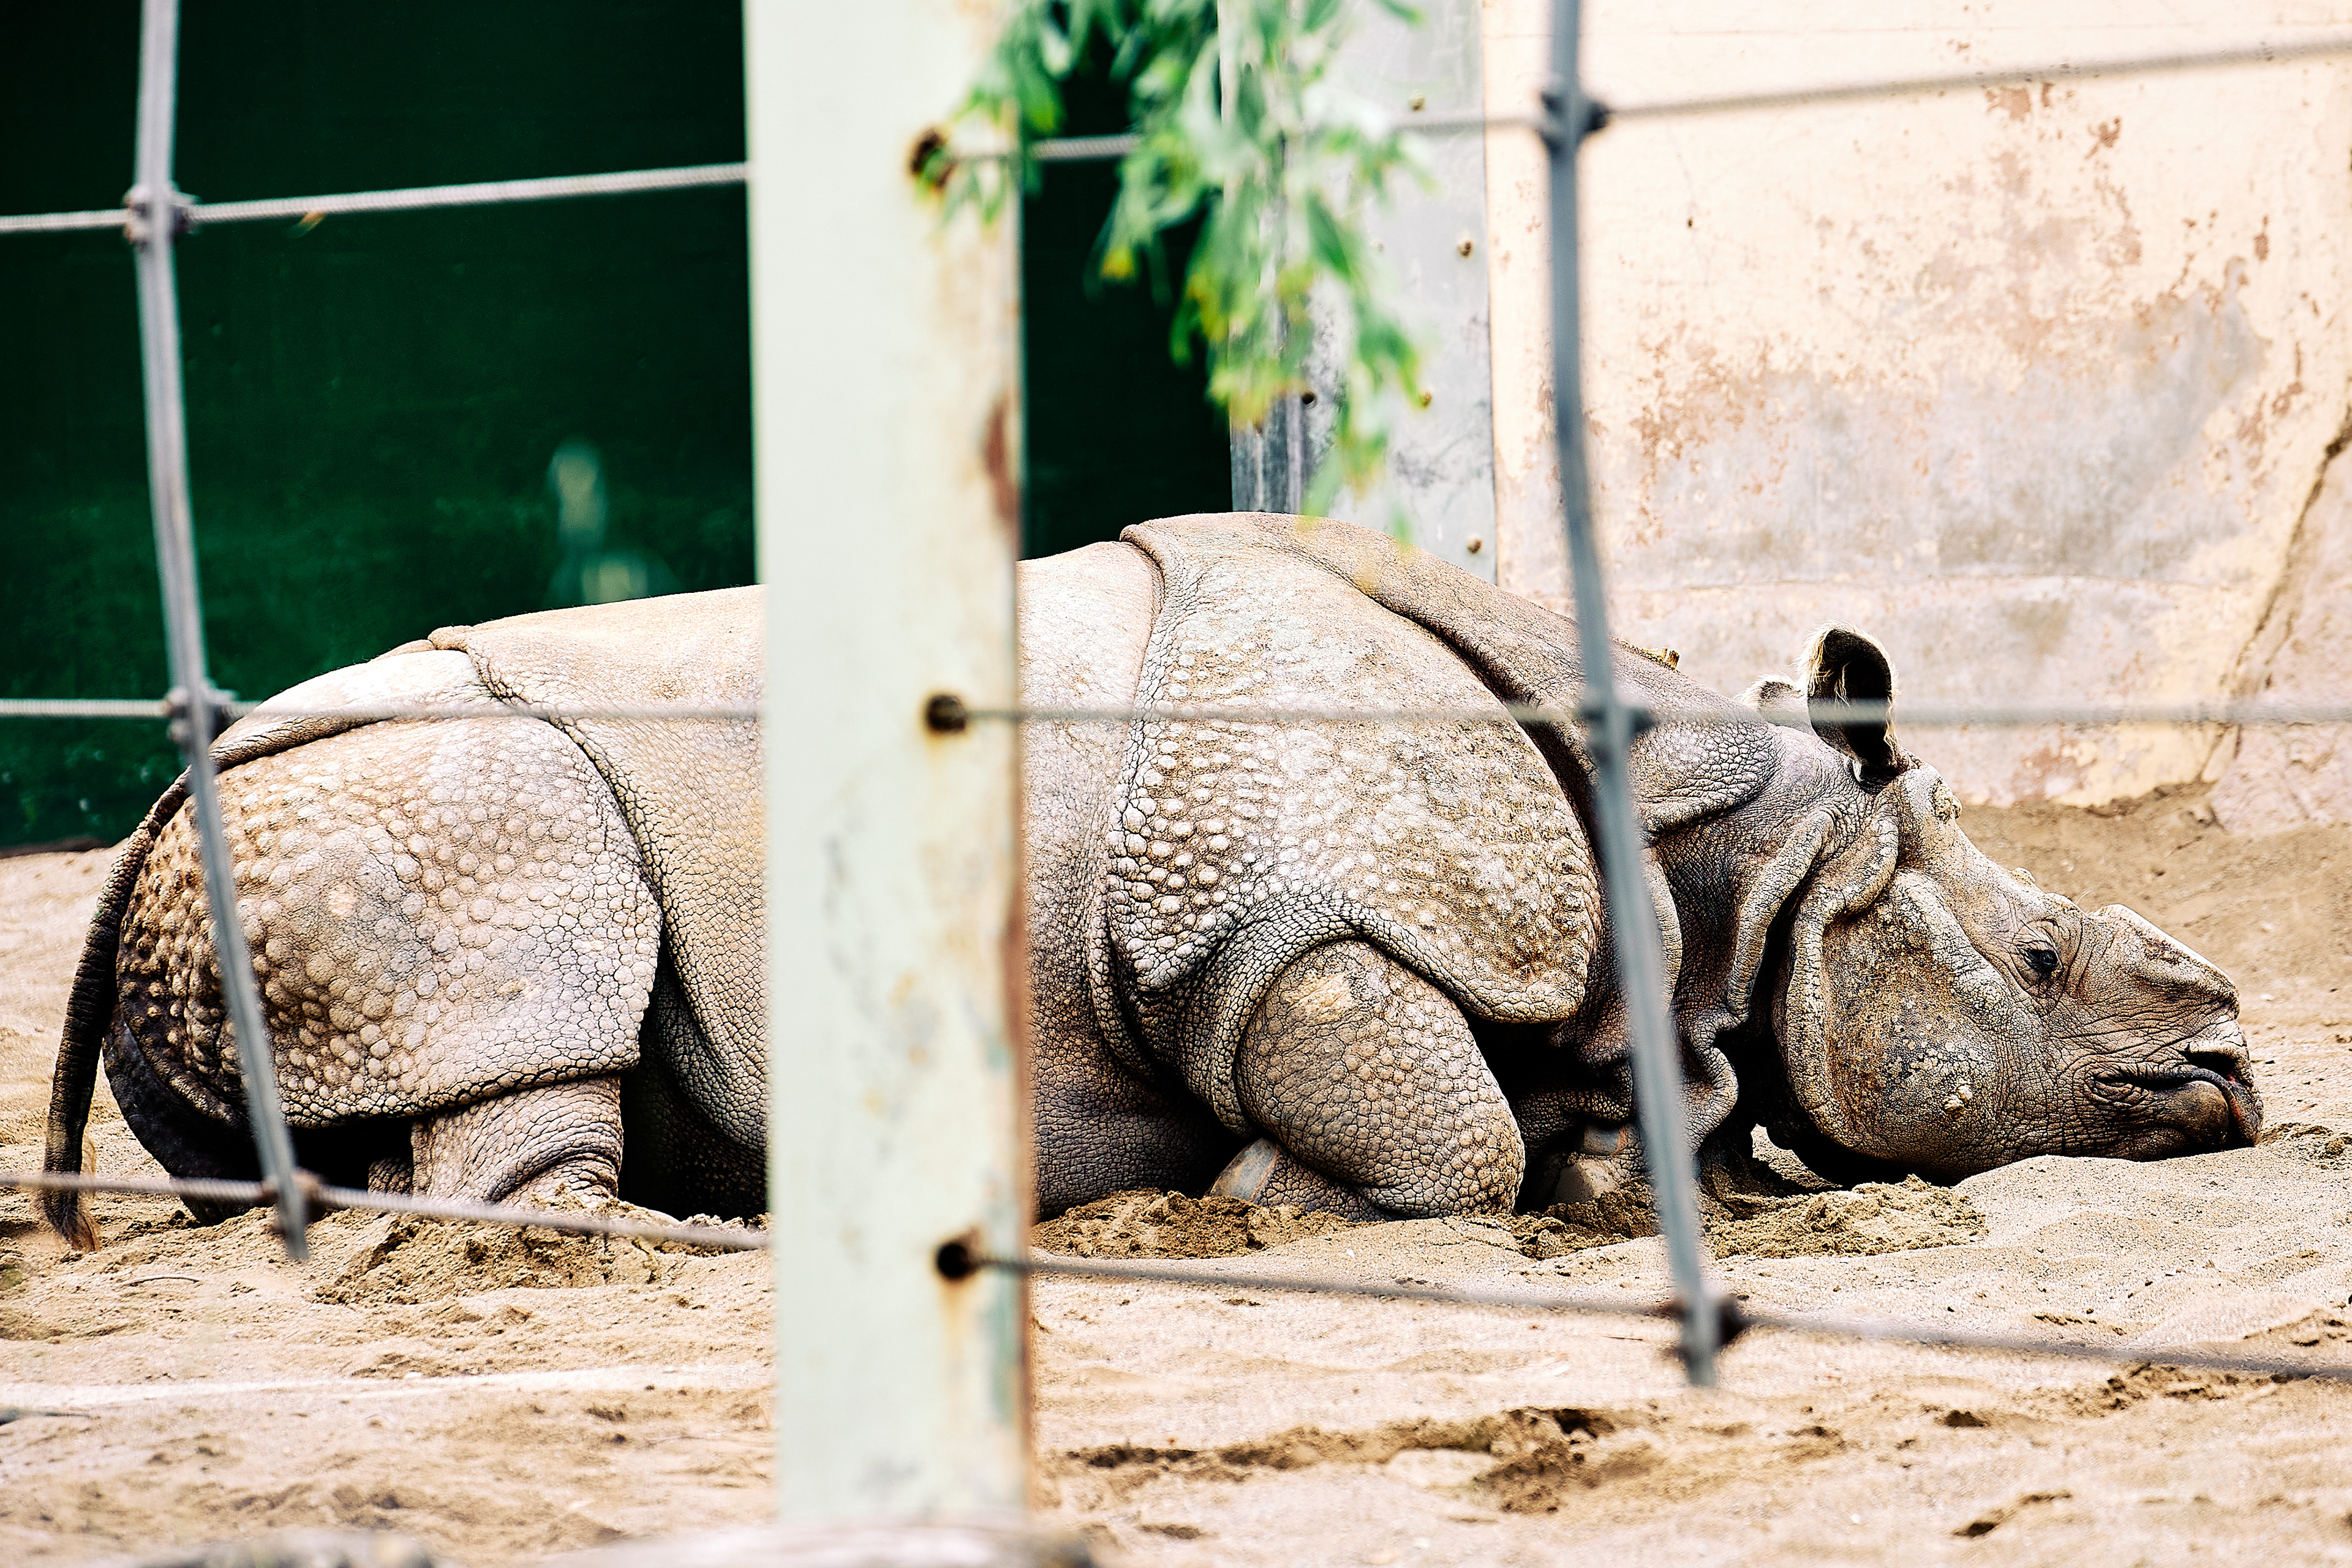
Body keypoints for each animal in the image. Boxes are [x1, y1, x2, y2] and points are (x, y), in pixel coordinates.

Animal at [42, 513, 2259, 1245]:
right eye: (2044, 959)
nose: (2235, 1056)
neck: (1732, 853)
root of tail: (165, 800)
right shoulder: (1281, 922)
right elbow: (1440, 1135)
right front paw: (1260, 1199)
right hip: (429, 799)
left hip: (288, 837)